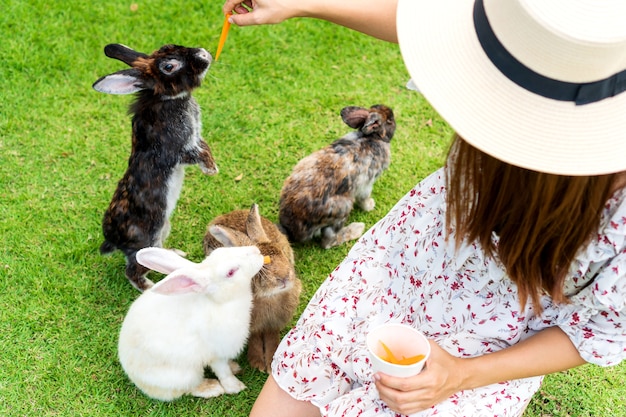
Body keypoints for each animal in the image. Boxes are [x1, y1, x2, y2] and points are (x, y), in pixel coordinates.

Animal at [91, 42, 218, 290]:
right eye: (169, 66)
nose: (204, 54)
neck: (166, 98)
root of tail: (113, 241)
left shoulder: (196, 138)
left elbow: (203, 145)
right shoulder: (177, 150)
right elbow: (197, 154)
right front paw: (211, 170)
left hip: (163, 229)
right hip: (146, 241)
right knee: (133, 270)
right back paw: (148, 287)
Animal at [117, 244, 264, 400]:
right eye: (230, 272)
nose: (257, 251)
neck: (219, 302)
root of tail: (135, 379)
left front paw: (234, 367)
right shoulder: (216, 353)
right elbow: (223, 371)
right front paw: (235, 387)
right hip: (186, 375)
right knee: (187, 389)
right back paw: (212, 388)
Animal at [202, 203, 300, 372]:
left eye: (282, 253)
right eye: (260, 267)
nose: (284, 277)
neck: (269, 297)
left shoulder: (275, 321)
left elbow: (271, 335)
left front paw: (271, 361)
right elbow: (254, 337)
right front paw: (257, 362)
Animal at [280, 105, 394, 247]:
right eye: (389, 121)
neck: (373, 137)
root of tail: (293, 229)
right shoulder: (367, 184)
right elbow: (364, 198)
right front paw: (370, 206)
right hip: (342, 209)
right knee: (327, 242)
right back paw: (357, 229)